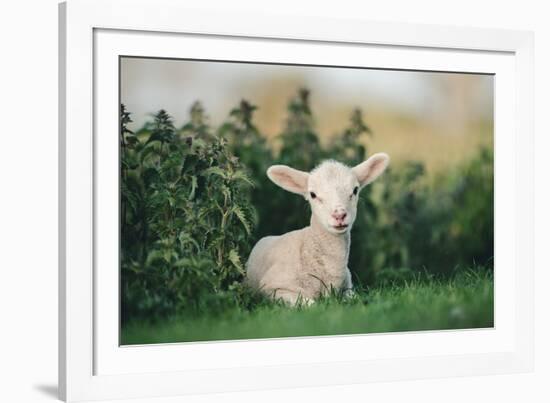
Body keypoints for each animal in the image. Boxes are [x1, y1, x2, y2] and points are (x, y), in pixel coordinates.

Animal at [248, 153, 390, 304]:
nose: (339, 215)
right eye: (313, 194)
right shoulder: (273, 287)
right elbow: (312, 304)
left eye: (355, 190)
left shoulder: (348, 288)